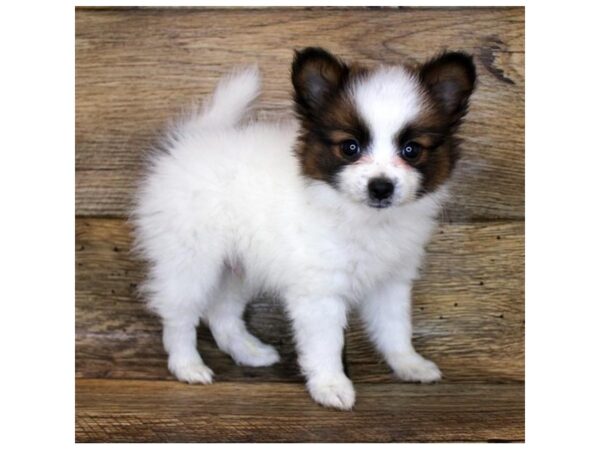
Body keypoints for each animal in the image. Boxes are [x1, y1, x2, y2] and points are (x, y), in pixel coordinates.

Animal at [134, 47, 476, 410]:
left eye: (411, 150)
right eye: (350, 147)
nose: (381, 187)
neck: (359, 216)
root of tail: (191, 142)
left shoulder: (391, 282)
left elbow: (395, 328)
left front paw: (409, 365)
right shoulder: (319, 292)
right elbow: (326, 343)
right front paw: (330, 386)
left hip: (239, 267)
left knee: (221, 312)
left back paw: (249, 352)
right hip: (191, 259)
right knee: (179, 314)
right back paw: (188, 366)